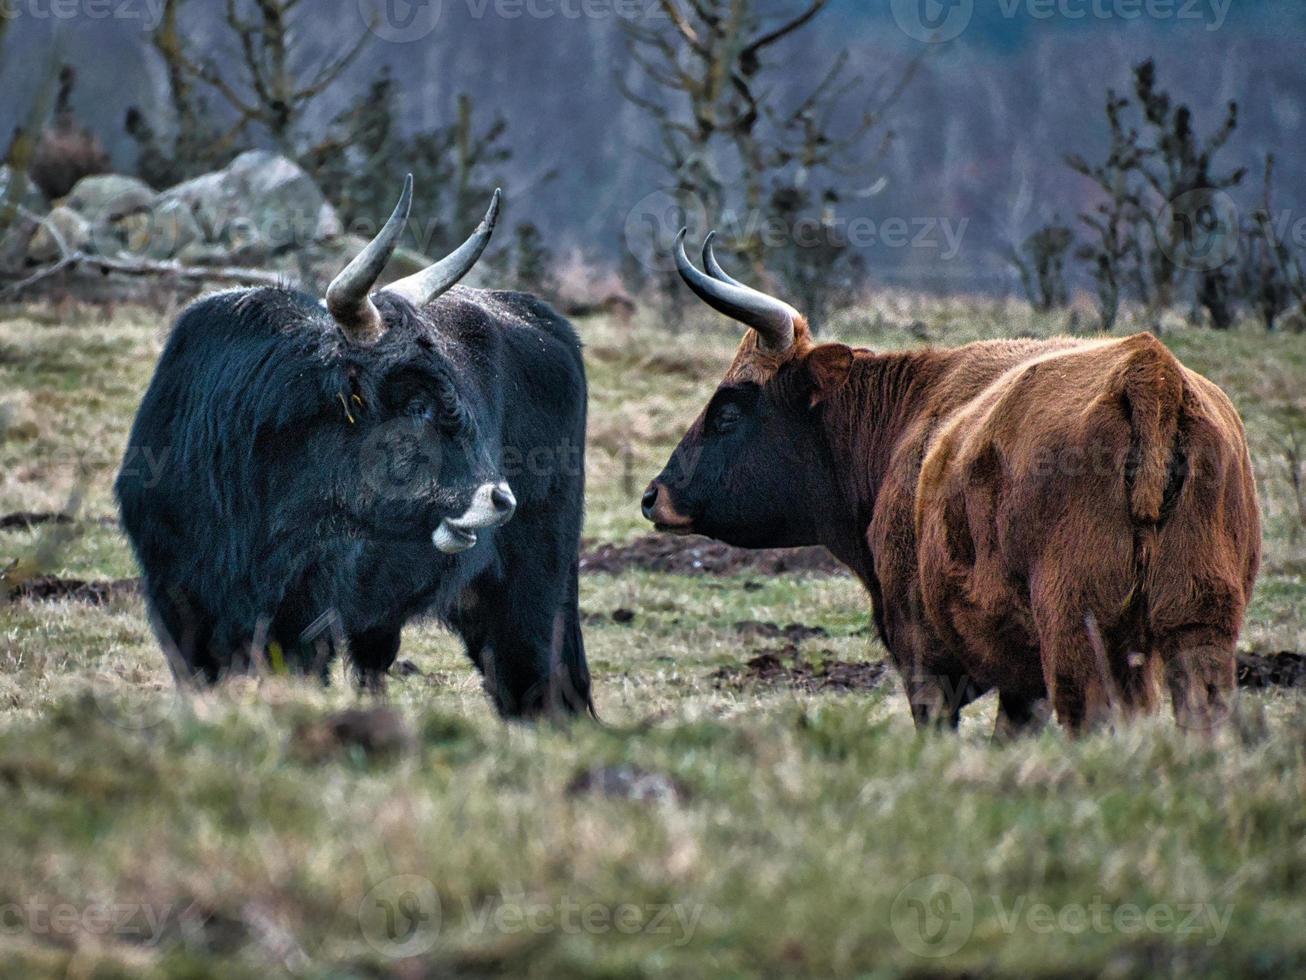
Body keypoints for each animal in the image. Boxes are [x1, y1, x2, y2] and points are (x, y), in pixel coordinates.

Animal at [114, 176, 595, 716]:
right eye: (416, 404)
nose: (501, 499)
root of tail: (547, 322)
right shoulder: (179, 611)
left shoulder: (303, 626)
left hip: (535, 591)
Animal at [647, 232, 1258, 736]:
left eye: (728, 412)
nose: (655, 496)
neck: (907, 417)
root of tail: (1148, 371)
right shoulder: (1021, 687)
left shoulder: (926, 661)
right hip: (1198, 629)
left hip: (1080, 636)